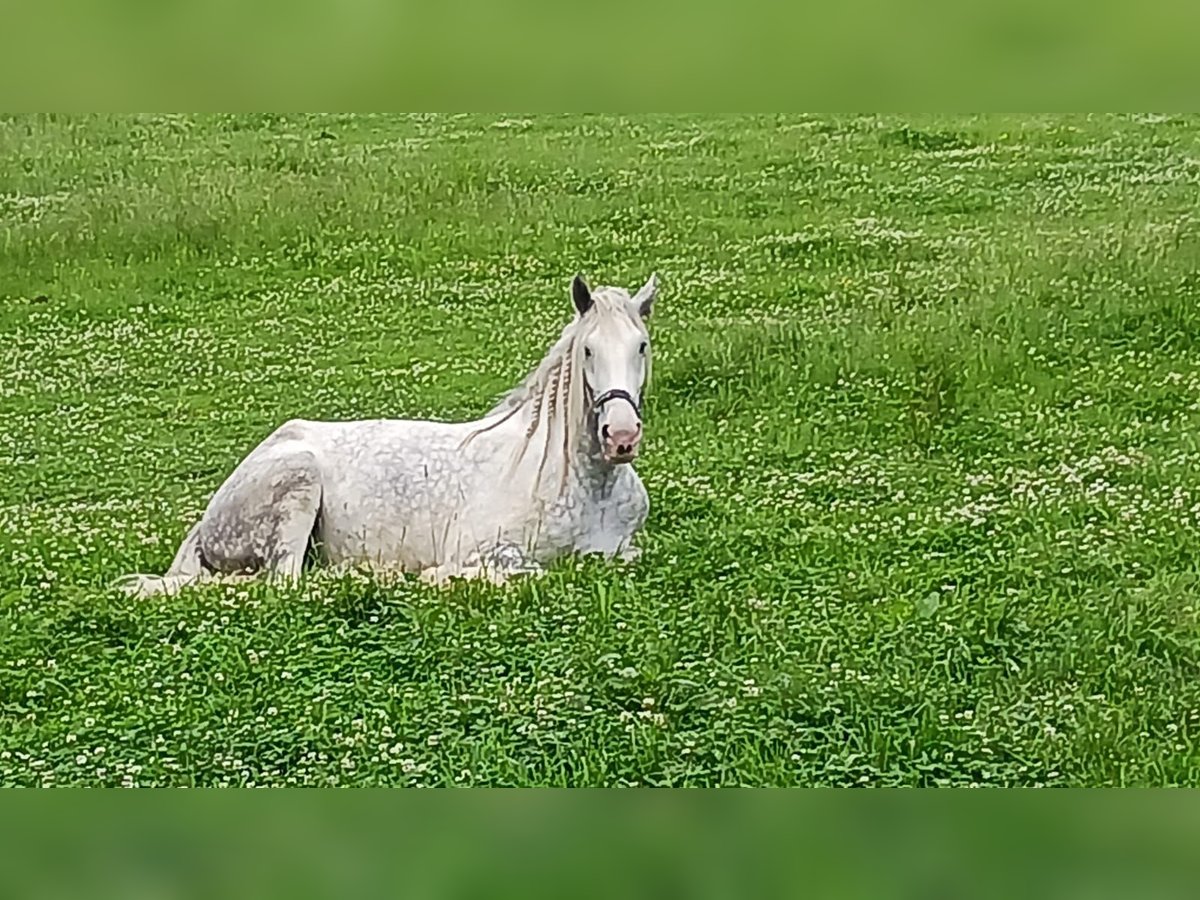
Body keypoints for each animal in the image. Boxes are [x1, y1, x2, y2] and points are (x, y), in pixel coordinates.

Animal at [117, 272, 659, 596]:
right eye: (587, 350)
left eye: (642, 346)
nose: (621, 436)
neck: (584, 488)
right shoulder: (486, 550)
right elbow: (517, 571)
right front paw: (433, 577)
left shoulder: (623, 551)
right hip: (298, 483)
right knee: (285, 582)